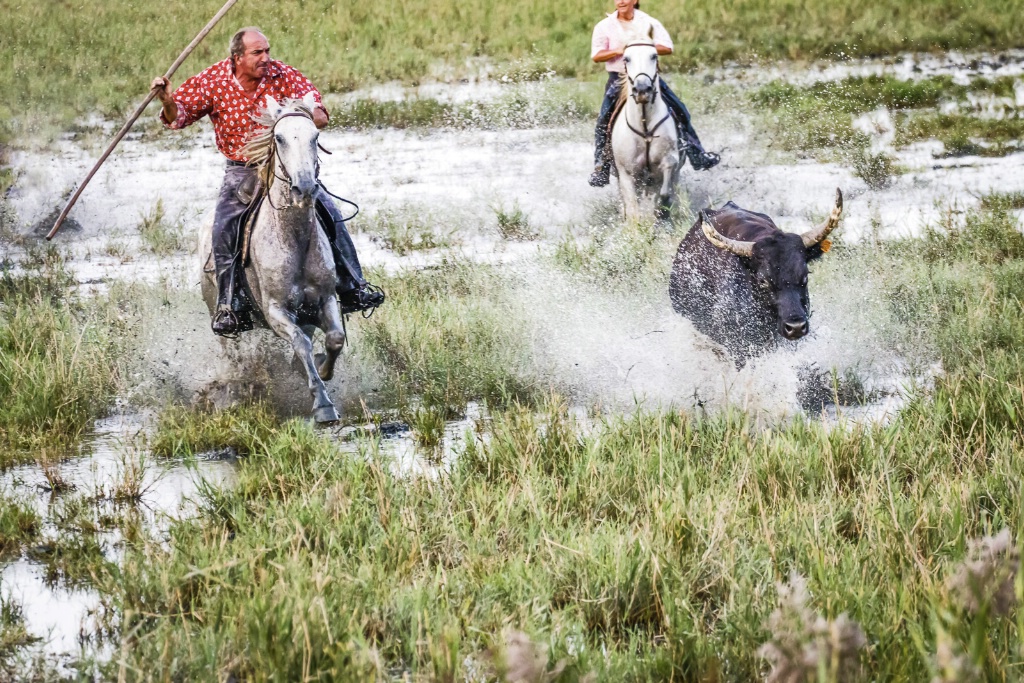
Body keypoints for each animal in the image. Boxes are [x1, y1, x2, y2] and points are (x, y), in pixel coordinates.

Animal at [199, 90, 348, 421]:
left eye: (315, 136)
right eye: (279, 138)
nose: (304, 188)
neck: (295, 239)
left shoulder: (324, 300)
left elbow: (334, 339)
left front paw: (323, 370)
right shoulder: (275, 310)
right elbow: (301, 343)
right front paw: (323, 404)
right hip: (220, 314)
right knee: (232, 354)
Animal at [606, 42, 679, 223]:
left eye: (654, 56)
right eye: (626, 58)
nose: (642, 89)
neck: (644, 127)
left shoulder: (669, 160)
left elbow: (664, 187)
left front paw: (663, 209)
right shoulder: (626, 173)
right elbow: (632, 208)